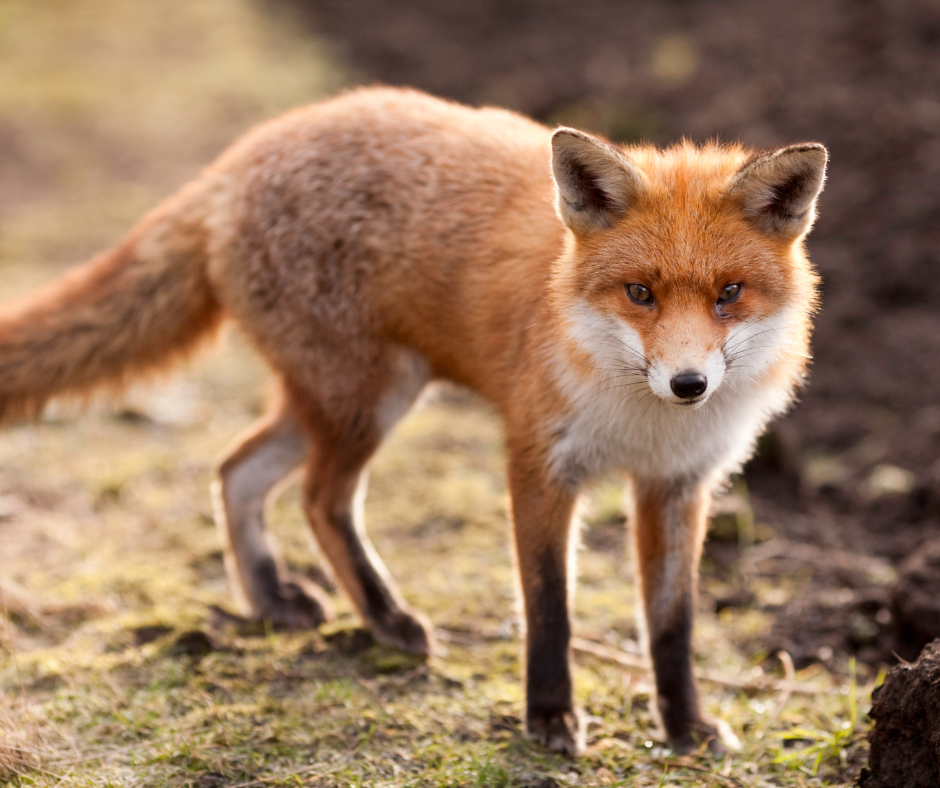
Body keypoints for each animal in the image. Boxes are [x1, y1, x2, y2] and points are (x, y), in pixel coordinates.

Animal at [0, 86, 824, 756]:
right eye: (640, 293)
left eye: (728, 293)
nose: (688, 384)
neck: (643, 423)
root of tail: (245, 154)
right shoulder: (539, 463)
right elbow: (548, 607)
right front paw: (550, 717)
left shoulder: (677, 486)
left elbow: (672, 625)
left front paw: (685, 727)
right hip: (368, 401)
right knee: (317, 499)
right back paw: (385, 618)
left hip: (335, 401)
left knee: (236, 469)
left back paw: (270, 599)